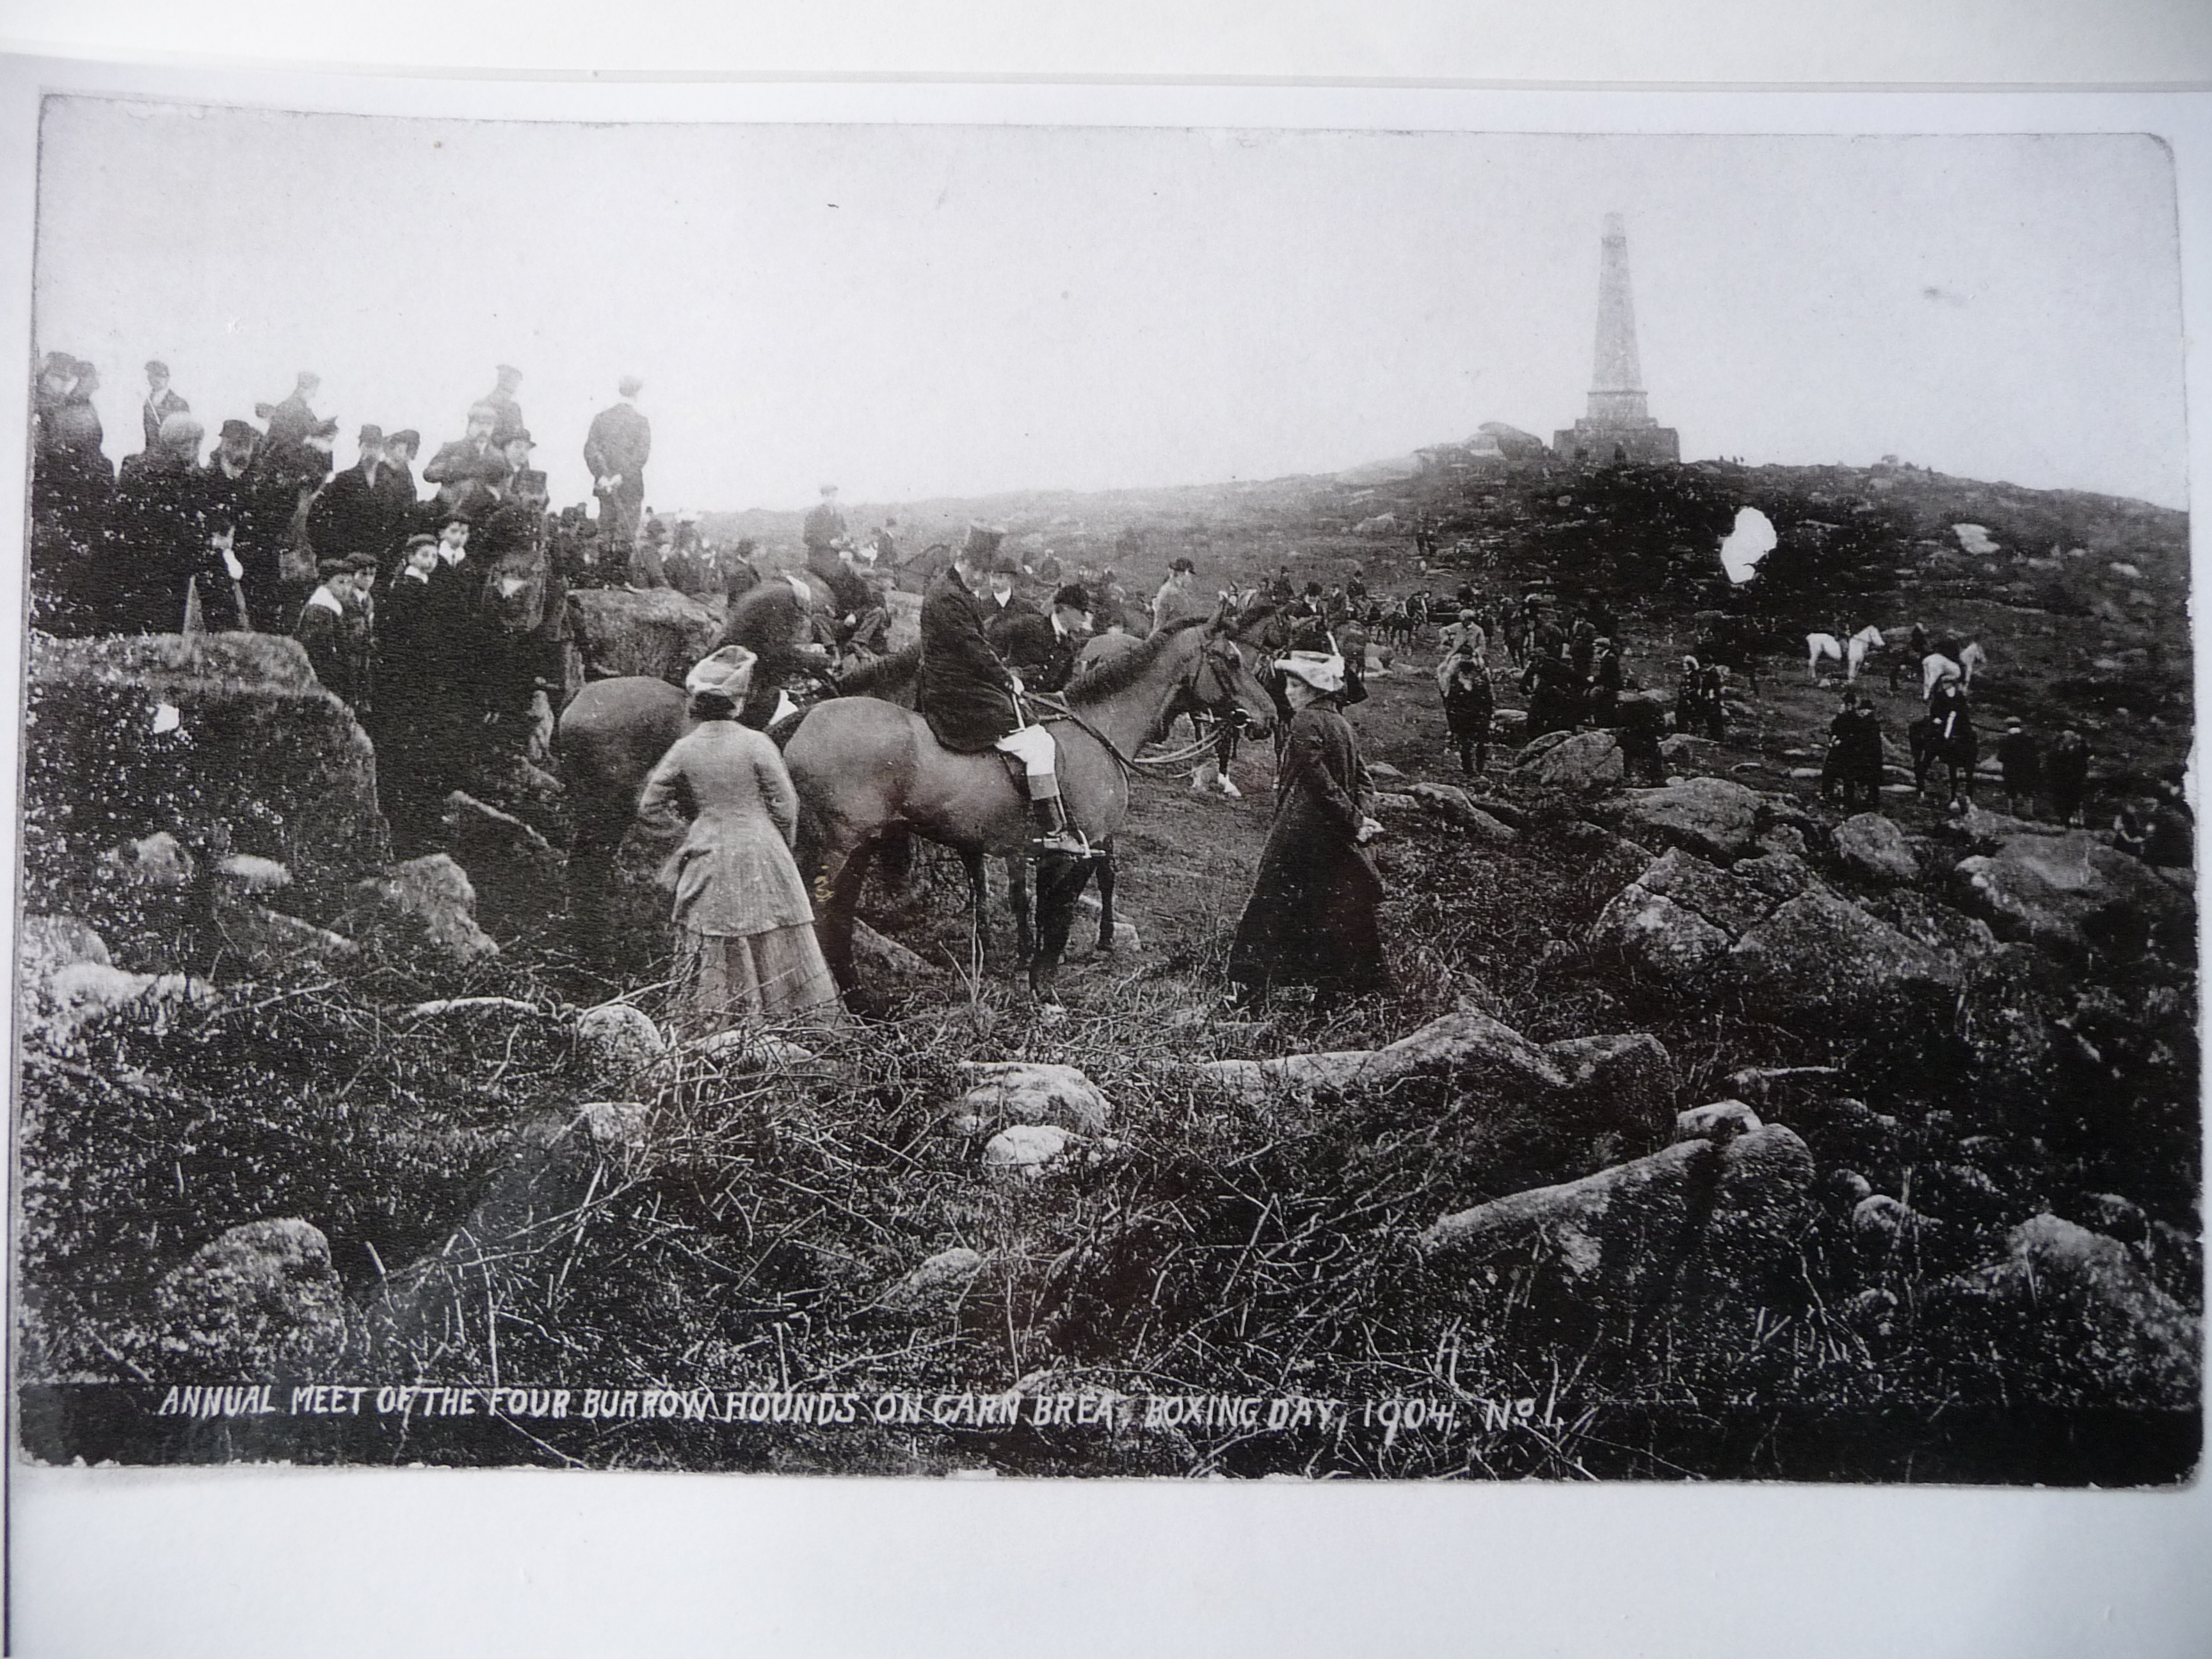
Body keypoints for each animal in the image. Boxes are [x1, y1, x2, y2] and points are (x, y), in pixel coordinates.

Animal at [792, 605, 1283, 1008]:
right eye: (1232, 659)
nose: (1271, 718)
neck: (1099, 729)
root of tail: (805, 716)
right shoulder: (1080, 852)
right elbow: (1058, 918)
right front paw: (1045, 991)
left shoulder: (1045, 855)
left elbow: (1042, 912)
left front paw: (1034, 976)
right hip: (837, 846)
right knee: (819, 918)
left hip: (860, 847)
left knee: (837, 919)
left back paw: (859, 1000)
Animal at [1805, 628, 1893, 685]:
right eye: (1874, 635)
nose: (1883, 644)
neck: (1859, 644)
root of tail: (1811, 636)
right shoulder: (1852, 661)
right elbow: (1851, 672)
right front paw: (1849, 683)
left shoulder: (1858, 662)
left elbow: (1855, 672)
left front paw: (1852, 681)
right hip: (1816, 652)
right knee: (1812, 663)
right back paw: (1813, 678)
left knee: (1811, 663)